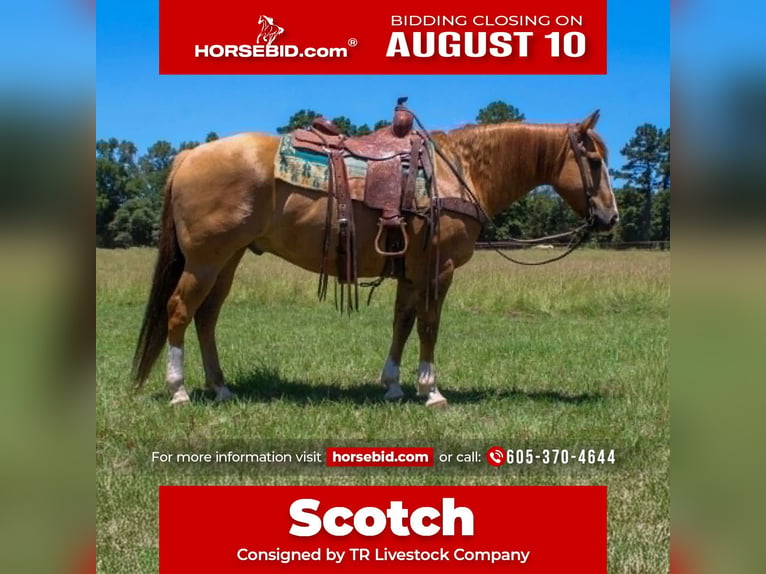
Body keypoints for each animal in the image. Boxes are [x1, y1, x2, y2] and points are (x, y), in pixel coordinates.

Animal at [132, 111, 618, 408]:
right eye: (593, 160)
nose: (610, 217)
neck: (457, 172)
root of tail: (190, 155)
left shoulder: (411, 271)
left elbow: (402, 322)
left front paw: (393, 385)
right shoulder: (437, 270)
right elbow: (429, 325)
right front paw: (431, 391)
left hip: (228, 259)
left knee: (207, 316)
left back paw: (221, 388)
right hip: (205, 260)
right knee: (180, 310)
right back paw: (179, 391)